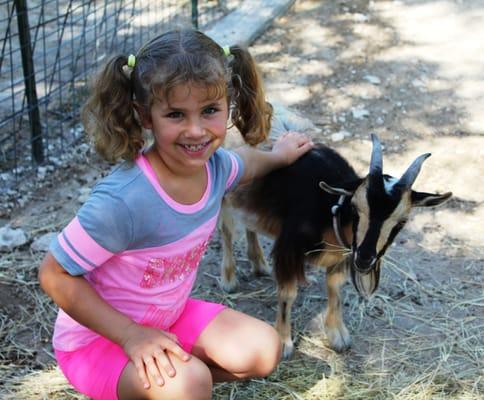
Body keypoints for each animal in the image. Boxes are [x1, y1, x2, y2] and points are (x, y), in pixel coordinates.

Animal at [221, 135, 452, 360]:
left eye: (402, 221)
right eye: (355, 208)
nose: (365, 258)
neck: (328, 208)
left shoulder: (343, 255)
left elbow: (335, 287)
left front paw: (337, 335)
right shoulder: (289, 248)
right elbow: (288, 294)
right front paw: (284, 342)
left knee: (250, 224)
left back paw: (259, 263)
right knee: (227, 230)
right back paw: (229, 279)